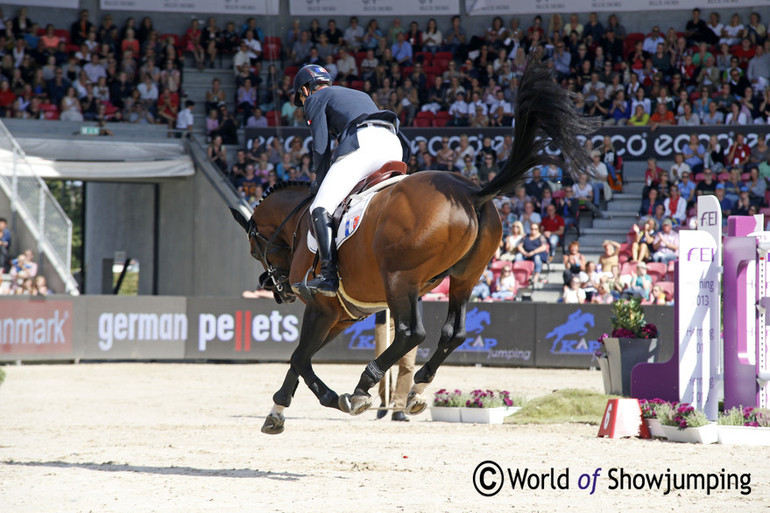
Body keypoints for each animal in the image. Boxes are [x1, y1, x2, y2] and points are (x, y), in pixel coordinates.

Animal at [231, 62, 592, 434]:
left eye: (254, 248)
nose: (278, 290)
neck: (300, 219)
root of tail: (471, 193)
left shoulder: (322, 309)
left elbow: (300, 358)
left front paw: (331, 398)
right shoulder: (342, 316)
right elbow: (298, 357)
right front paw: (276, 413)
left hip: (399, 278)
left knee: (411, 333)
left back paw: (362, 387)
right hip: (465, 277)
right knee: (453, 332)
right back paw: (418, 388)